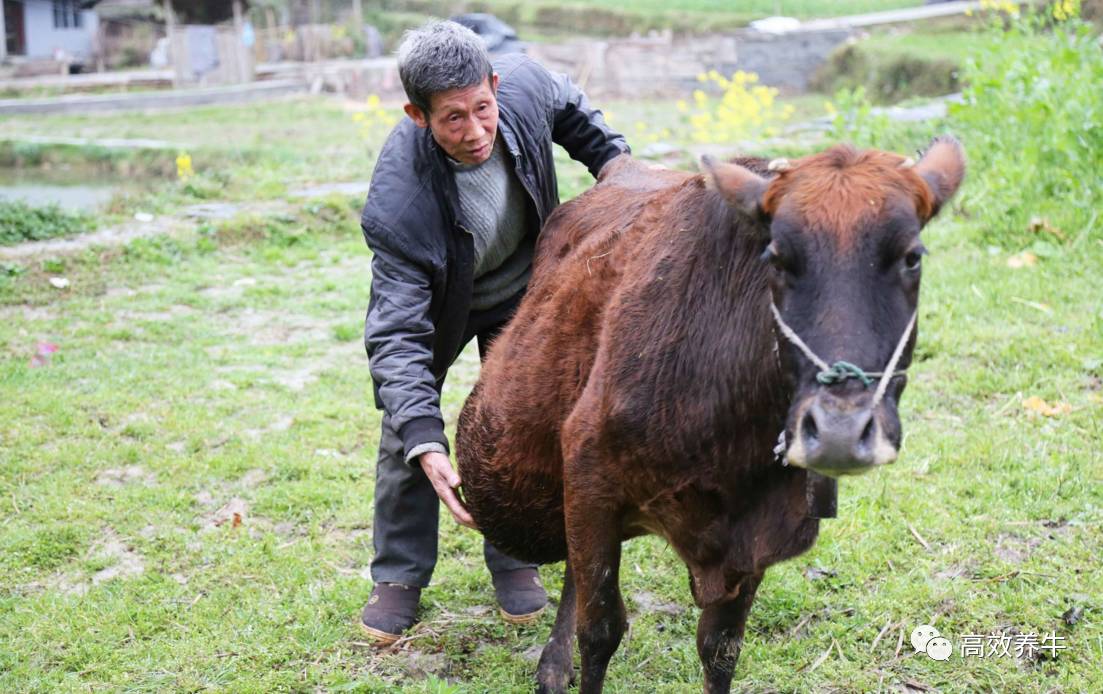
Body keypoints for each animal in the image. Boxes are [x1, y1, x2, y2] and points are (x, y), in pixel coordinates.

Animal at [456, 137, 966, 688]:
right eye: (776, 257)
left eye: (912, 257)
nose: (839, 431)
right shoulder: (590, 477)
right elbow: (601, 630)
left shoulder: (760, 534)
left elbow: (720, 647)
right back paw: (554, 662)